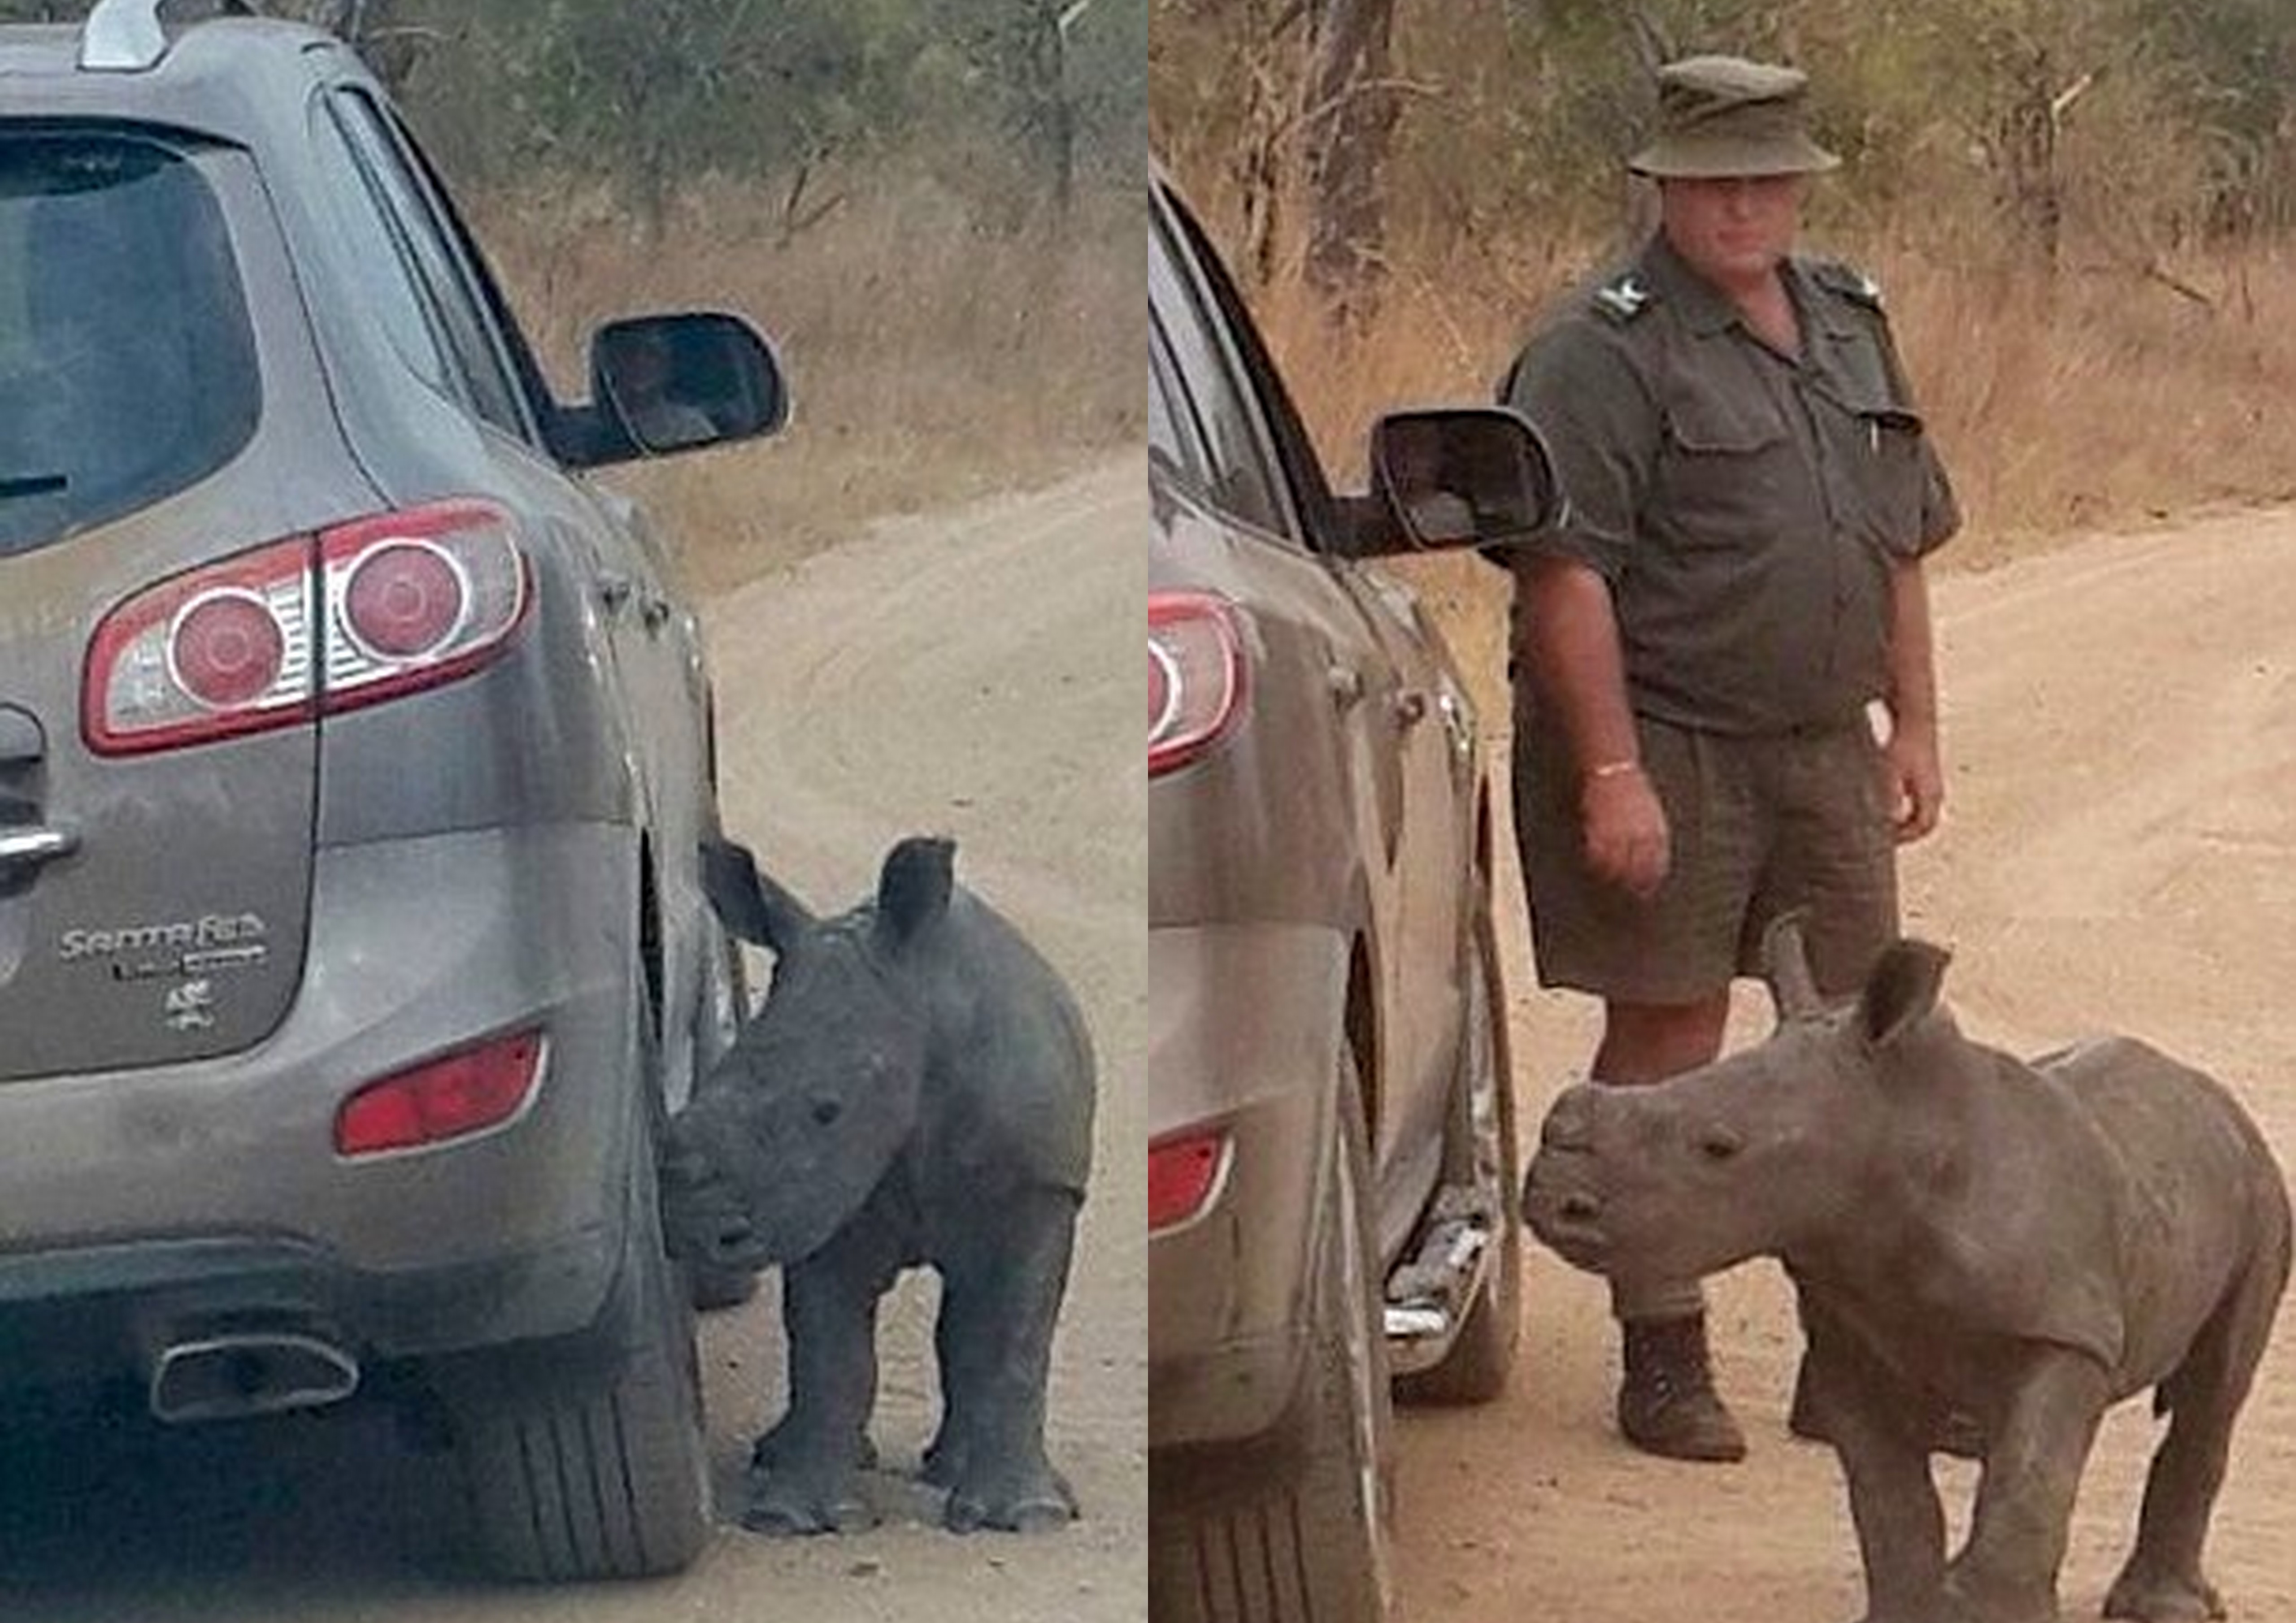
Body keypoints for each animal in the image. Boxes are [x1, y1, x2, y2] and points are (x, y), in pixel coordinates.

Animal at [659, 834, 1095, 1537]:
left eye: (827, 1111)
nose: (691, 1225)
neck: (921, 1006)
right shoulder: (824, 1194)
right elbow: (830, 1352)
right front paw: (793, 1519)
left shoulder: (1039, 1188)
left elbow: (1014, 1340)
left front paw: (1029, 1518)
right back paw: (785, 1457)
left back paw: (951, 1472)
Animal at [1521, 919, 2290, 1623]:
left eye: (1719, 1147)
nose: (1552, 1202)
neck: (1900, 1134)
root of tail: (2211, 1093)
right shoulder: (1847, 1329)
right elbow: (1890, 1498)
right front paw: (1920, 1608)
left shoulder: (2066, 1330)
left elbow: (2033, 1477)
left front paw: (1989, 1614)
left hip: (2261, 1188)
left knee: (2214, 1390)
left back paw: (2161, 1608)